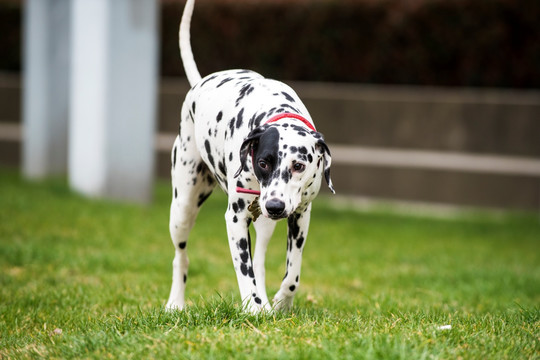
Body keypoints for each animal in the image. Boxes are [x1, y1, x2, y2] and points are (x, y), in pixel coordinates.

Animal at [166, 0, 334, 312]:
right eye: (263, 163)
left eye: (299, 165)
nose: (276, 206)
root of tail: (199, 83)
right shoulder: (235, 218)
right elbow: (244, 271)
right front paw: (253, 307)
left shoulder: (301, 215)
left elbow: (292, 274)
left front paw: (280, 302)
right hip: (182, 209)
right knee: (181, 257)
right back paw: (175, 303)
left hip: (266, 224)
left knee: (260, 261)